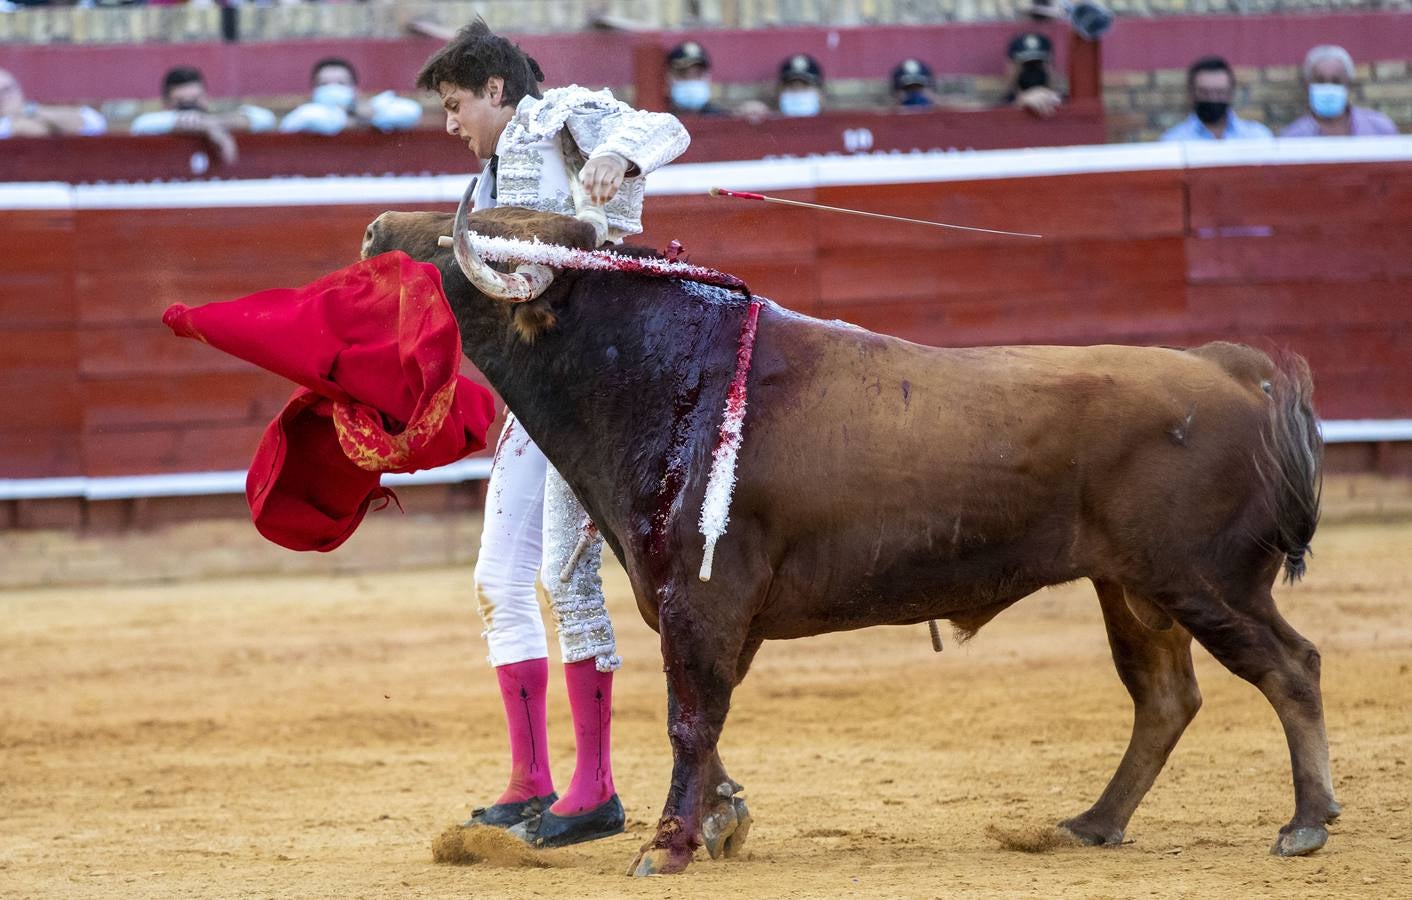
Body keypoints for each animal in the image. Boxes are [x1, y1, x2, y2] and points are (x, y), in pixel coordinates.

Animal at [358, 200, 1327, 875]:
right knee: (1164, 697)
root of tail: (1229, 371)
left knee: (1289, 667)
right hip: (1129, 587)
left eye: (456, 243)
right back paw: (1093, 824)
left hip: (1202, 580)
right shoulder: (695, 610)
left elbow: (689, 718)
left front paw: (667, 845)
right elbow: (703, 720)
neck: (661, 371)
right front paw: (718, 822)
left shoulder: (702, 600)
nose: (372, 230)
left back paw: (1305, 823)